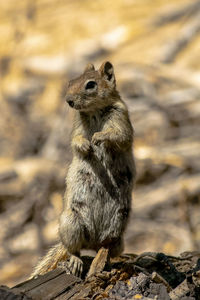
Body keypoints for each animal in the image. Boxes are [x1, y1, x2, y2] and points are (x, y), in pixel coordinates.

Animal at [30, 61, 135, 278]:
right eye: (70, 82)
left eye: (90, 84)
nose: (69, 101)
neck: (95, 110)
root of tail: (93, 242)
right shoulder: (77, 126)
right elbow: (75, 141)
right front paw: (86, 145)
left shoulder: (121, 117)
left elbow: (121, 136)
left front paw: (99, 137)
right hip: (71, 222)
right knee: (74, 249)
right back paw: (76, 261)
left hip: (119, 228)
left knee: (107, 249)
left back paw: (104, 258)